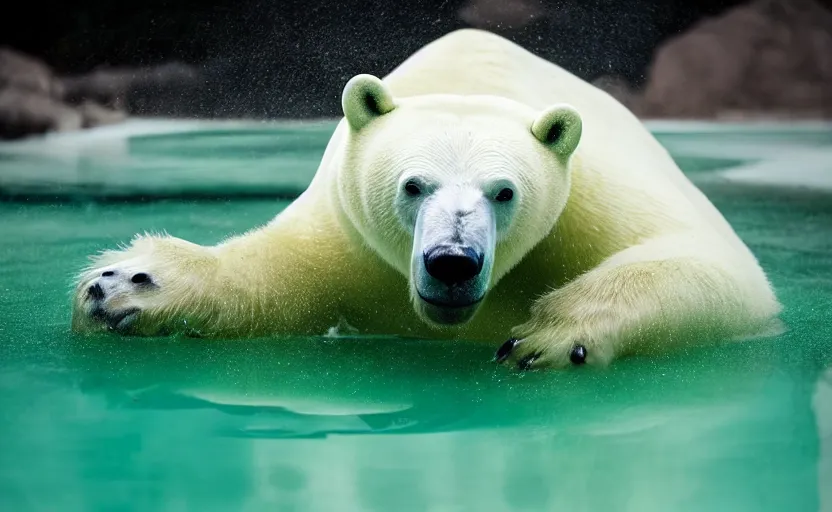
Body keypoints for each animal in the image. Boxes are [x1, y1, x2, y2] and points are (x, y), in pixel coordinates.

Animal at [70, 28, 780, 368]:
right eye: (413, 186)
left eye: (504, 192)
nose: (453, 262)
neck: (470, 79)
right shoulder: (349, 232)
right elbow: (278, 273)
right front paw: (123, 286)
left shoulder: (589, 199)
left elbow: (718, 271)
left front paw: (549, 338)